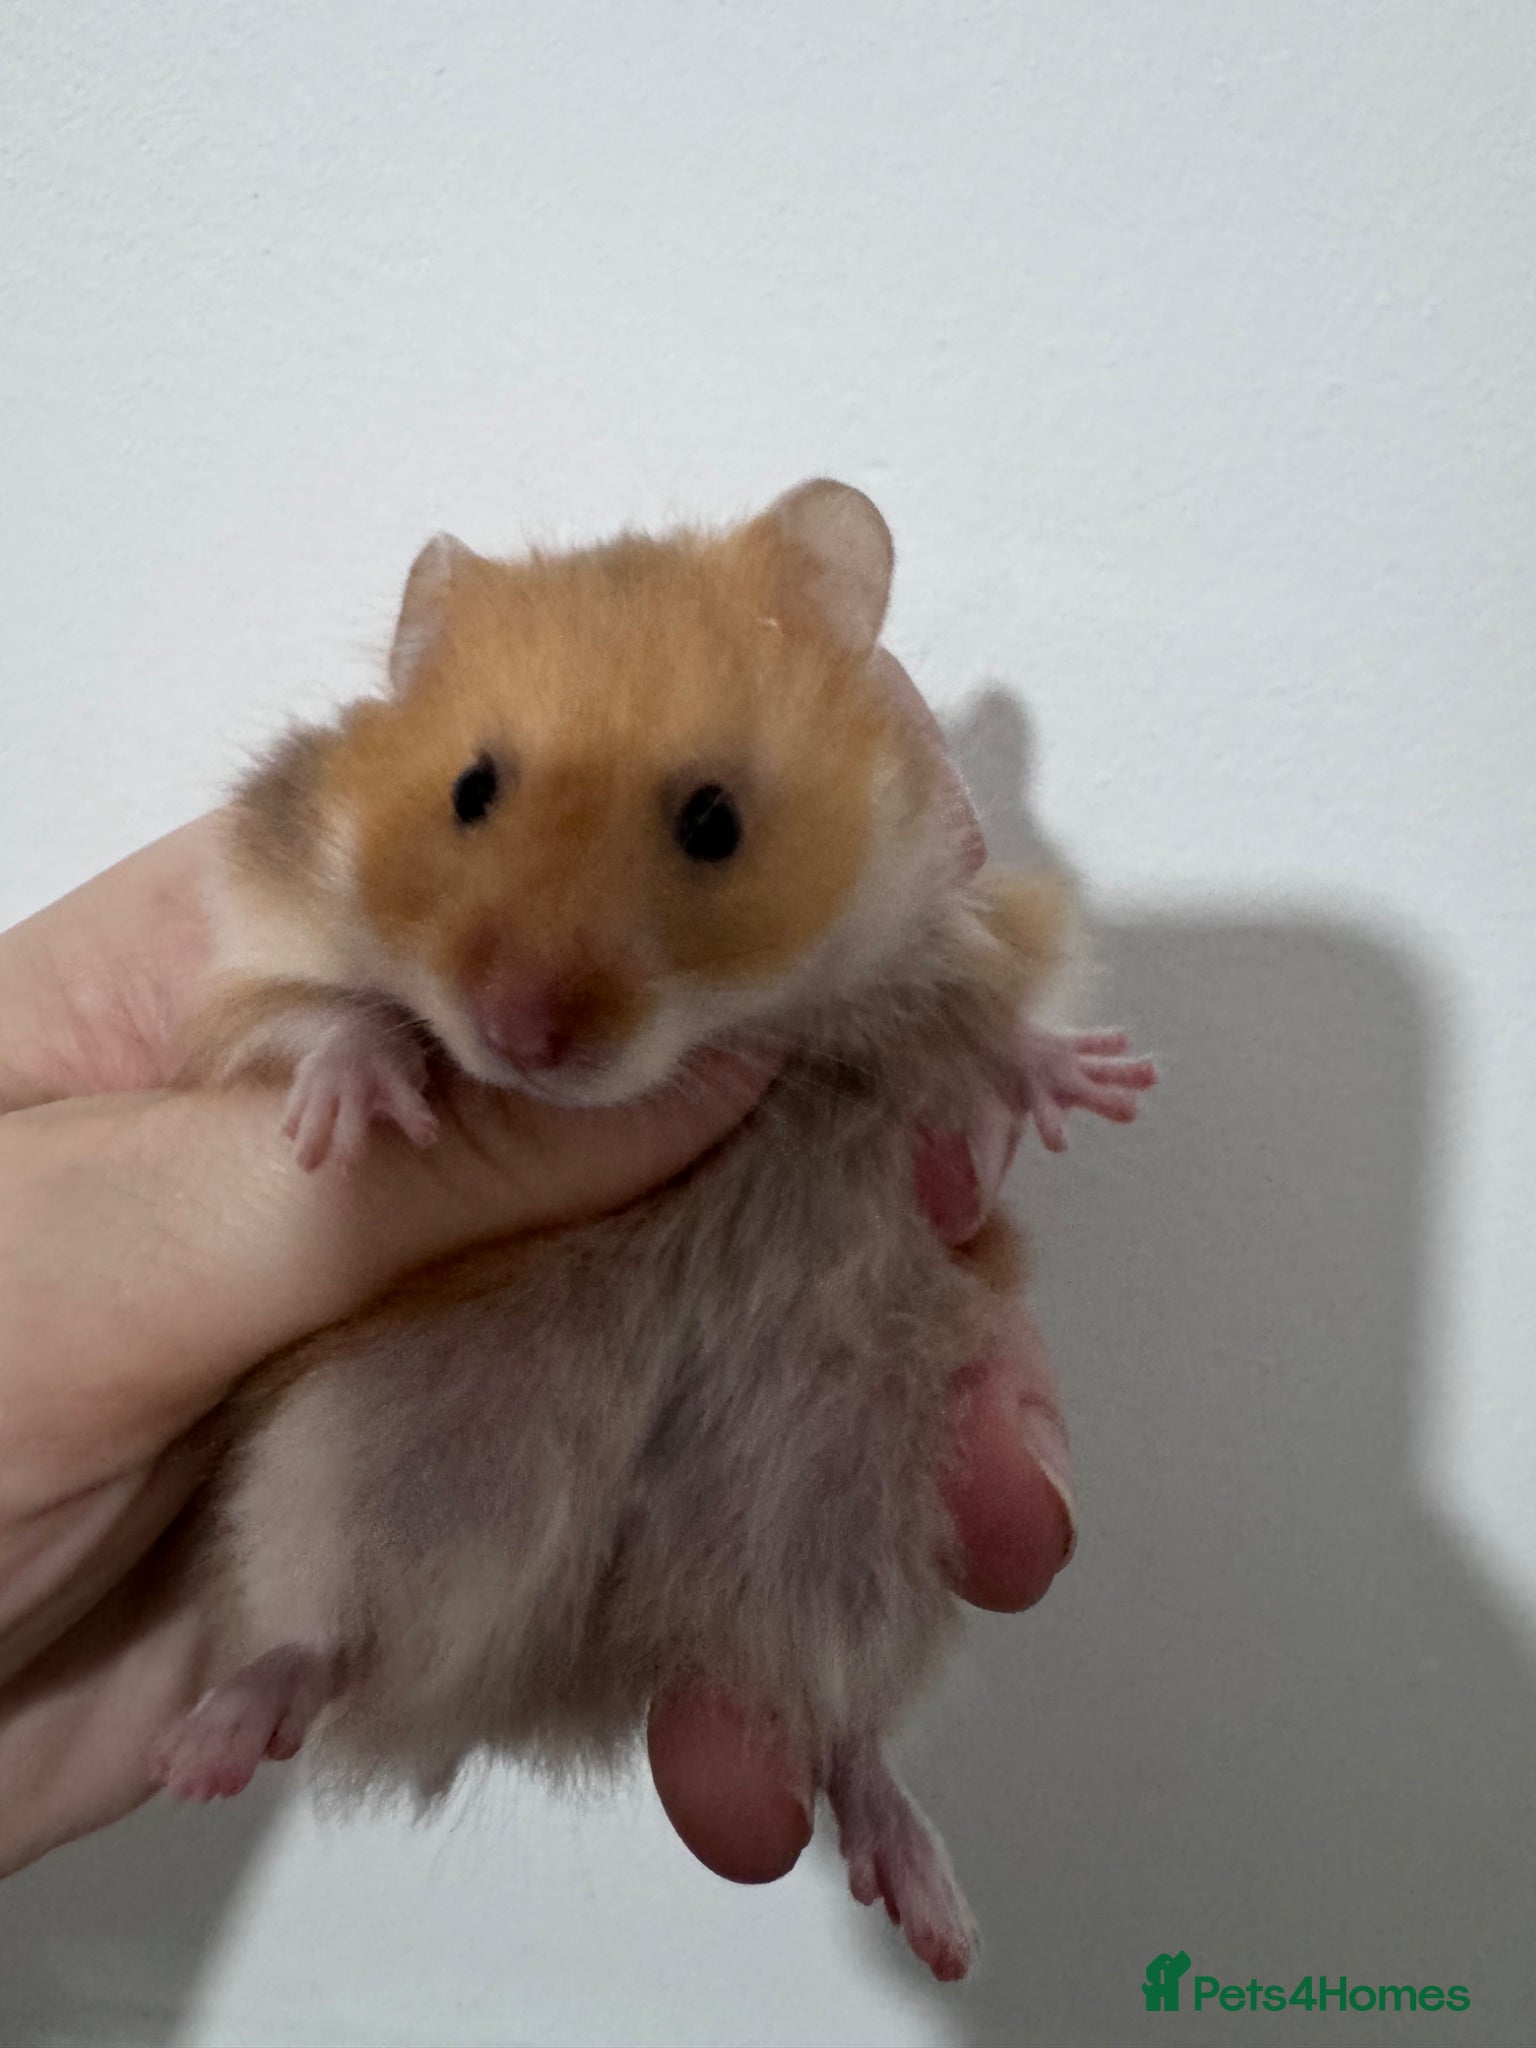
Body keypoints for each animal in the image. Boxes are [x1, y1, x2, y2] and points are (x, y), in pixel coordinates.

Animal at [157, 481, 1154, 1981]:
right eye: (470, 790)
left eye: (713, 819)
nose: (518, 1037)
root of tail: (581, 1656)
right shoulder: (255, 924)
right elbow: (312, 1007)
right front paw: (364, 1116)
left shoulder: (952, 915)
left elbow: (991, 1031)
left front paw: (1099, 1084)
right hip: (352, 1460)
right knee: (327, 1638)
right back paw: (208, 1748)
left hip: (853, 1514)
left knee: (833, 1720)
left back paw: (931, 1911)